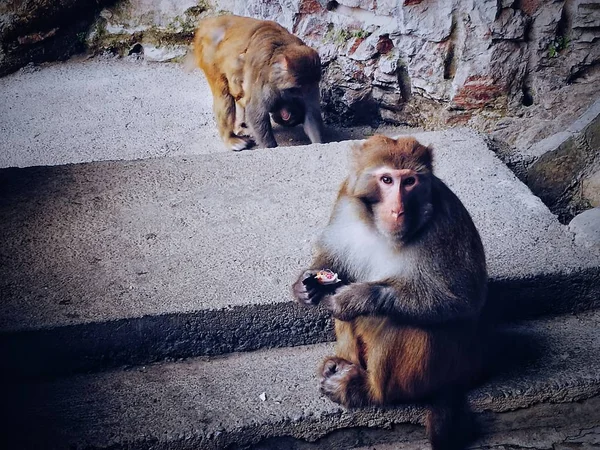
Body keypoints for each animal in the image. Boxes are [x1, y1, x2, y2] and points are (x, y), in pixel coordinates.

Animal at [192, 14, 324, 150]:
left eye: (307, 88)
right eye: (295, 89)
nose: (302, 95)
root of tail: (209, 23)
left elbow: (311, 113)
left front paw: (318, 142)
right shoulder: (263, 79)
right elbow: (256, 112)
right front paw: (270, 146)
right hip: (209, 58)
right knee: (224, 95)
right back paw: (230, 138)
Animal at [292, 136, 490, 450]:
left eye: (409, 181)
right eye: (386, 180)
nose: (398, 209)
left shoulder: (446, 223)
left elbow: (464, 301)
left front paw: (355, 298)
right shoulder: (344, 198)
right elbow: (335, 259)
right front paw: (304, 285)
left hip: (437, 371)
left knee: (395, 319)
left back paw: (368, 390)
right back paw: (344, 368)